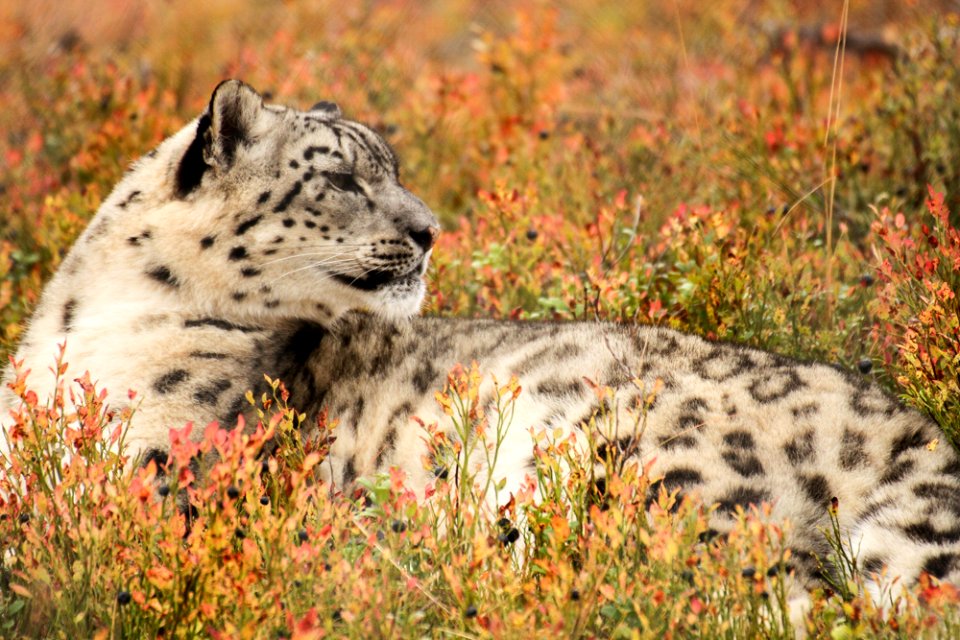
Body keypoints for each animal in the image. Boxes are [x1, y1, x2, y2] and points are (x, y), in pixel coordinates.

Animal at [1, 80, 960, 608]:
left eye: (390, 168)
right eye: (342, 177)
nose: (430, 230)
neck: (91, 323)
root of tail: (914, 433)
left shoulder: (151, 476)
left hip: (664, 476)